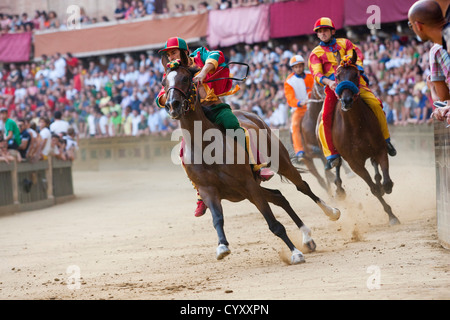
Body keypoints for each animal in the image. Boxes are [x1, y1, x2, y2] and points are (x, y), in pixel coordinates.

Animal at [163, 60, 342, 264]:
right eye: (164, 82)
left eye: (186, 78)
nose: (172, 105)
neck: (205, 147)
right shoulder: (209, 190)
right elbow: (217, 219)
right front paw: (222, 246)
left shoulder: (248, 184)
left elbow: (274, 224)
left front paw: (295, 253)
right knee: (279, 196)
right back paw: (307, 237)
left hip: (280, 163)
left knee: (302, 186)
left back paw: (331, 212)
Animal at [326, 50, 400, 225]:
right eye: (337, 76)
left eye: (355, 74)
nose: (346, 100)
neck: (355, 126)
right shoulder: (354, 163)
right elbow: (373, 189)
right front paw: (391, 215)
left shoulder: (379, 149)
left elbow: (386, 181)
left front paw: (385, 187)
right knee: (337, 163)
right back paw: (339, 189)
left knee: (376, 169)